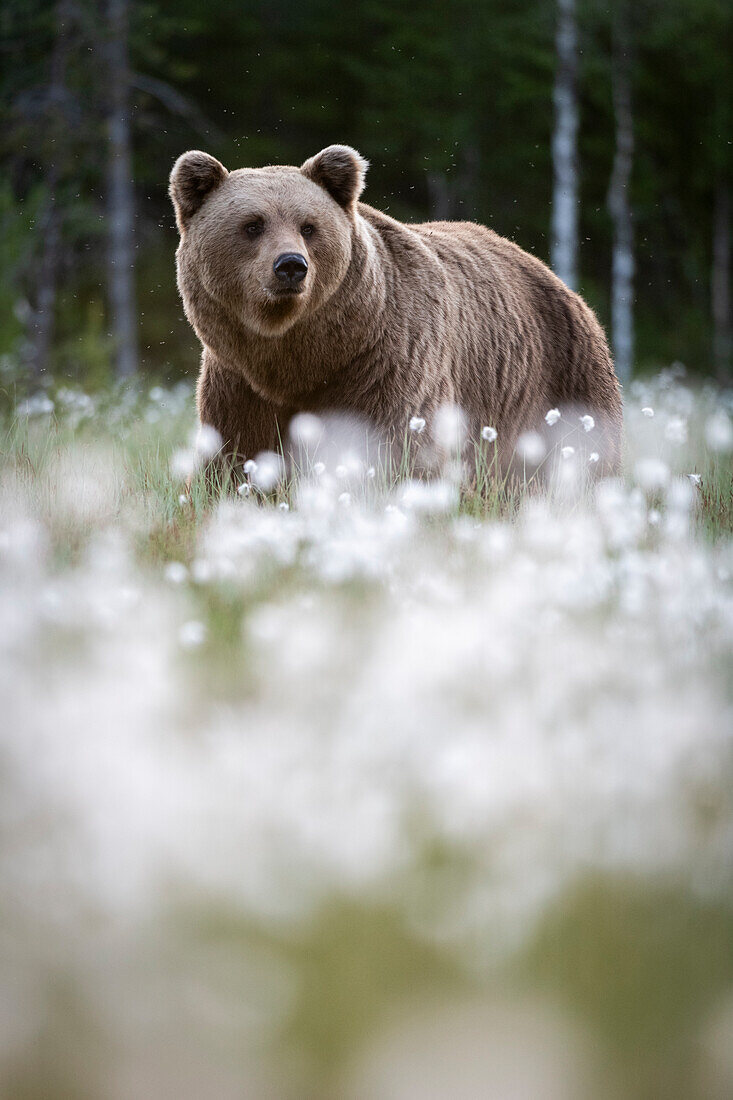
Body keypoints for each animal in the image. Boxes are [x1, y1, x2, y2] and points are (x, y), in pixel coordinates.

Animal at [168, 141, 620, 473]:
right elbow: (238, 453)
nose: (291, 265)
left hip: (562, 381)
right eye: (253, 225)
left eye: (309, 227)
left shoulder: (387, 364)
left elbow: (399, 445)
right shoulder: (238, 382)